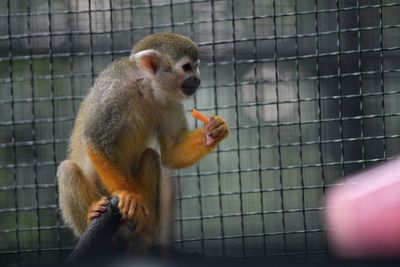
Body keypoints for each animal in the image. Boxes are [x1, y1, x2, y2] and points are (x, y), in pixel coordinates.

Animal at [57, 32, 230, 252]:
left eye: (196, 66)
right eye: (187, 67)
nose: (197, 79)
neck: (145, 86)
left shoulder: (170, 102)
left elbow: (172, 152)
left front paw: (214, 131)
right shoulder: (115, 91)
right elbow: (96, 138)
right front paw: (129, 195)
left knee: (150, 156)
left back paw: (144, 231)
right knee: (67, 170)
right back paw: (95, 216)